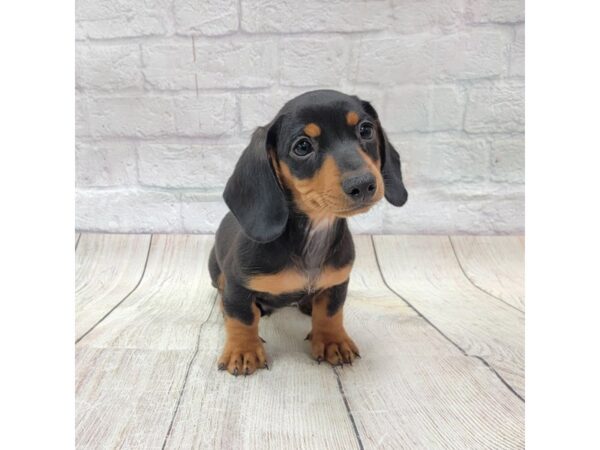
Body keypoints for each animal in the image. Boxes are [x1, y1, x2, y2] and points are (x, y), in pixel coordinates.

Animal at [209, 89, 410, 374]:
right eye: (302, 147)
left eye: (366, 130)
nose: (363, 184)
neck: (313, 232)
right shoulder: (238, 284)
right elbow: (242, 318)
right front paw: (243, 350)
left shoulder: (337, 282)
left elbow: (330, 313)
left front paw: (332, 341)